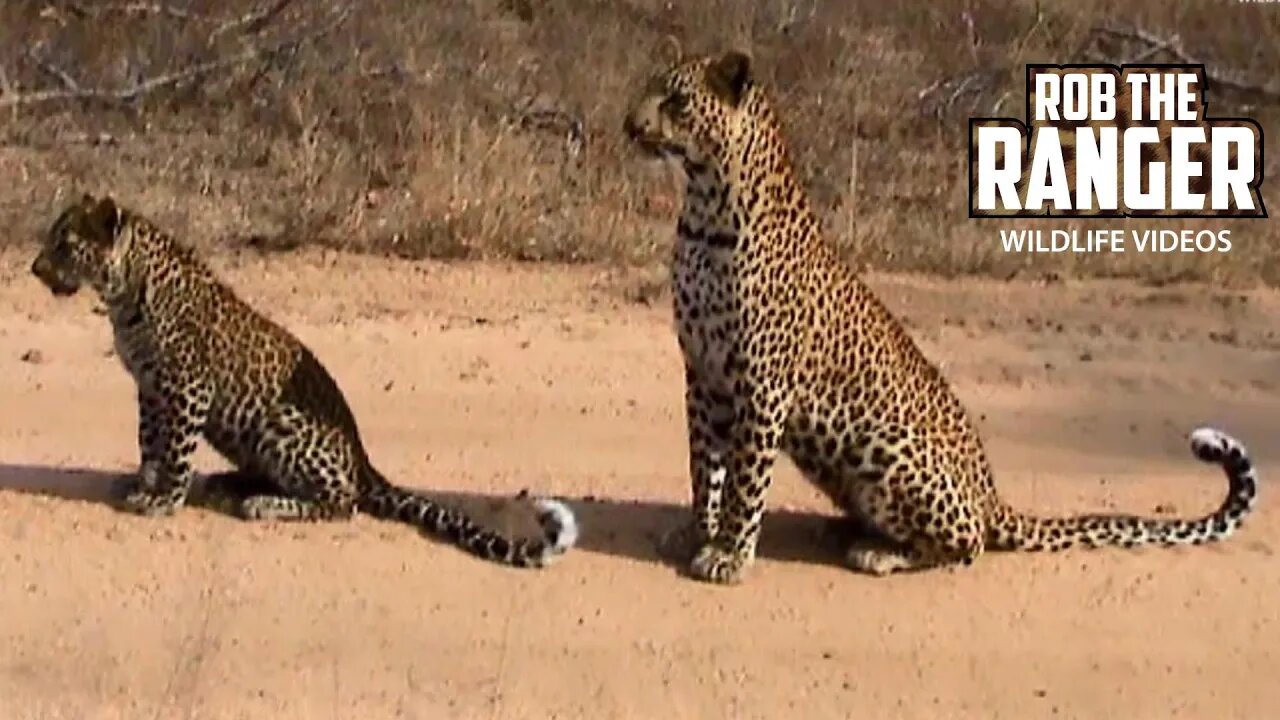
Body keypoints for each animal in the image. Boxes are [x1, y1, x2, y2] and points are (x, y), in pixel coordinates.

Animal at [30, 194, 581, 566]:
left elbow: (176, 450)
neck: (125, 295)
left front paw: (165, 500)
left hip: (283, 423)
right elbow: (149, 440)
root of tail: (363, 460)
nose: (34, 269)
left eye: (65, 244)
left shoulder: (188, 388)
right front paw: (143, 481)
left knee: (343, 504)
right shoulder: (148, 386)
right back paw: (231, 484)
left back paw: (262, 504)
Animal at [622, 49, 1259, 584]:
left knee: (967, 544)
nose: (630, 124)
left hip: (884, 443)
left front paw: (730, 554)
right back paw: (846, 528)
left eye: (676, 101)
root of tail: (991, 496)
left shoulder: (761, 382)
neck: (704, 211)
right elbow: (705, 466)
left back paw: (878, 551)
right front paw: (698, 533)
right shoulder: (703, 373)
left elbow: (745, 480)